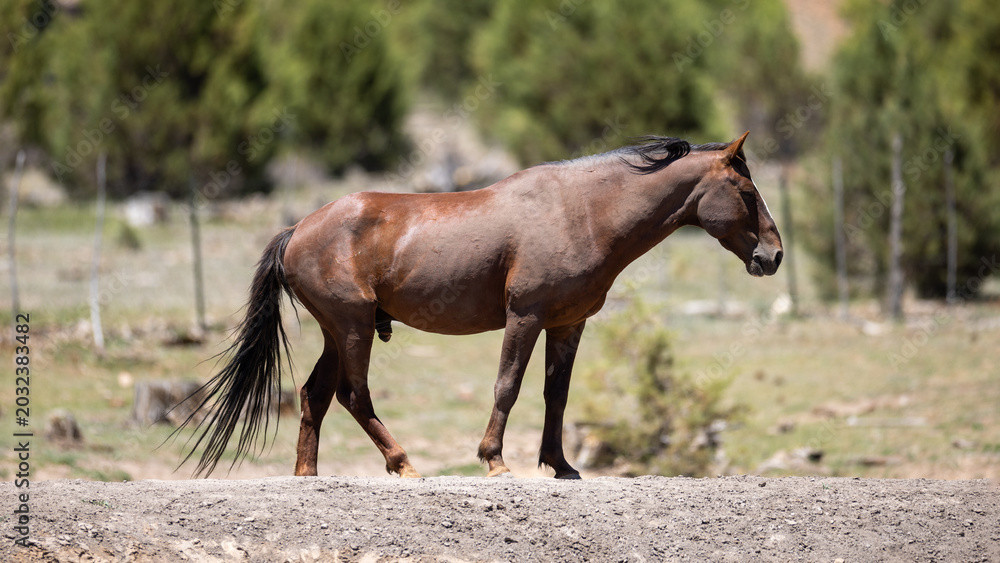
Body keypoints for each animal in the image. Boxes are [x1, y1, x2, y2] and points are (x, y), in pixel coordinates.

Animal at [178, 131, 782, 479]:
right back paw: (403, 463)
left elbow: (556, 395)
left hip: (338, 331)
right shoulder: (525, 318)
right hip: (353, 329)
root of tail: (298, 228)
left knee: (314, 395)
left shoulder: (568, 326)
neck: (582, 210)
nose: (773, 256)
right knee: (353, 395)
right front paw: (494, 459)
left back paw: (309, 474)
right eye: (747, 193)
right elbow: (507, 386)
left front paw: (560, 465)